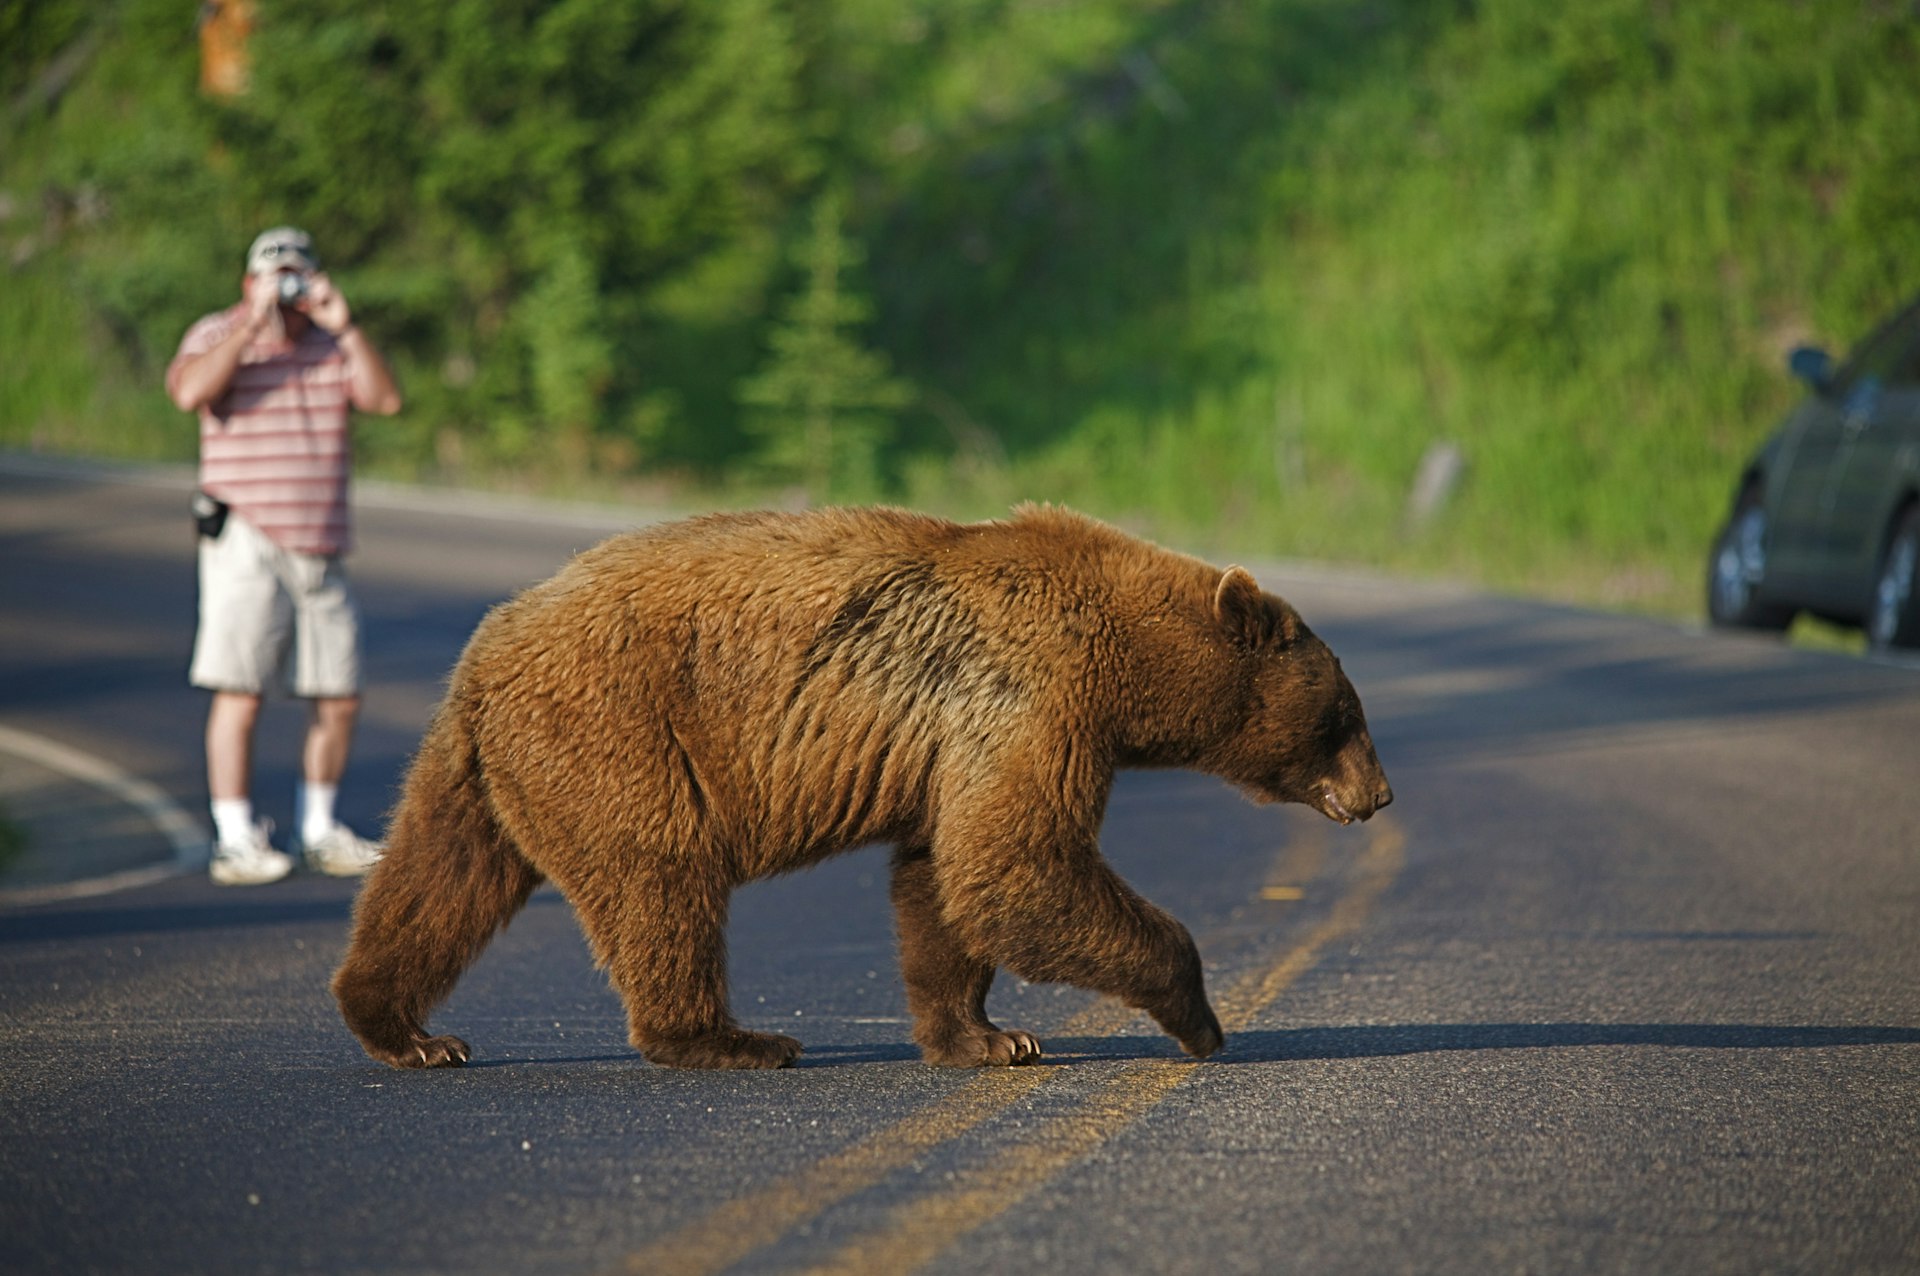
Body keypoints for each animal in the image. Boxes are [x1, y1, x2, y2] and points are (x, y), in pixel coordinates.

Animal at [326, 502, 1382, 1066]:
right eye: (1346, 715)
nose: (1381, 795)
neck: (1128, 664)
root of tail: (485, 651)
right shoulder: (1030, 695)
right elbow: (1017, 863)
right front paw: (1199, 1017)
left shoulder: (954, 742)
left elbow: (944, 880)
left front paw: (987, 1036)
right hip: (618, 734)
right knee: (660, 880)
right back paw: (730, 1037)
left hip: (489, 766)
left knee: (441, 880)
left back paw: (404, 1028)